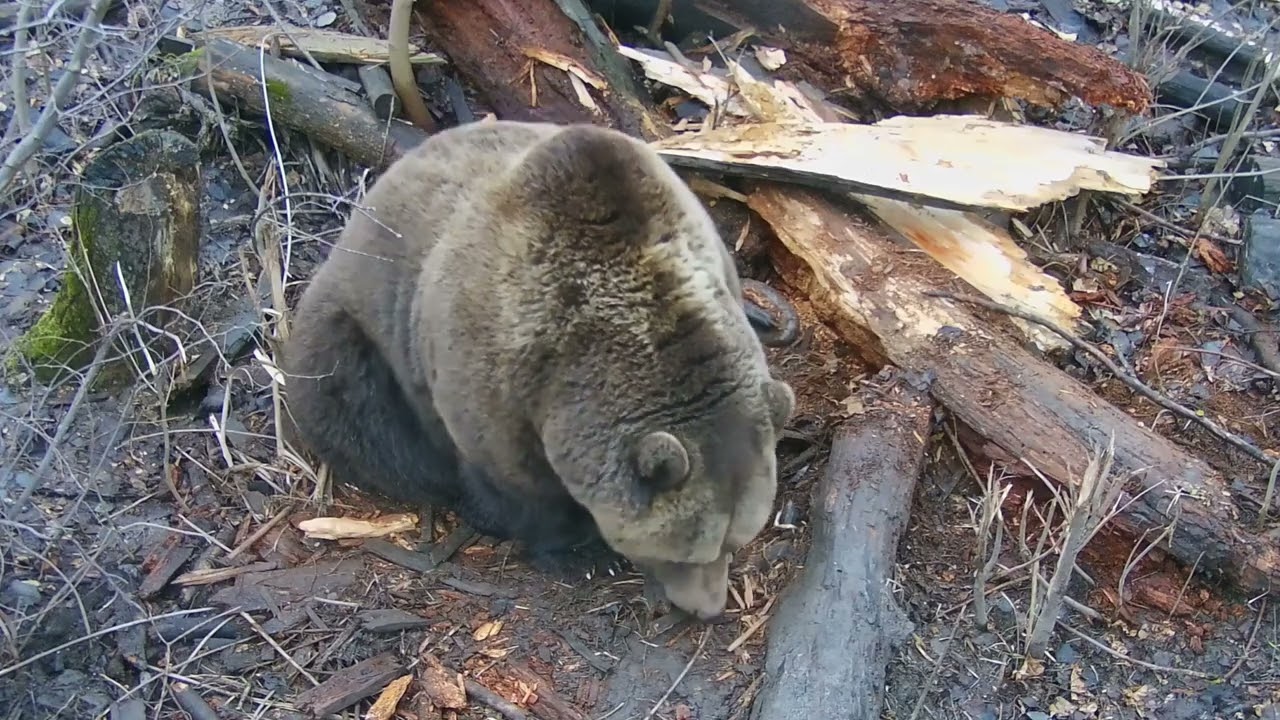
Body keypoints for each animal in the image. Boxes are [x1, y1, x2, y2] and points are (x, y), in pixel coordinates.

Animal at [278, 119, 795, 620]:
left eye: (736, 541)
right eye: (684, 554)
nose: (709, 609)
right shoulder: (490, 370)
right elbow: (519, 484)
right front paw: (580, 554)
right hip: (354, 334)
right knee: (362, 417)